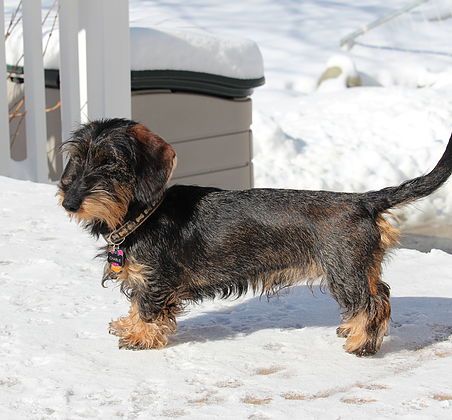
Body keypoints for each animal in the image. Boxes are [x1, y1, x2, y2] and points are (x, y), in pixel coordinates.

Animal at [57, 117, 452, 354]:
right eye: (78, 158)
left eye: (111, 163)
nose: (70, 201)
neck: (143, 214)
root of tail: (364, 201)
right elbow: (136, 303)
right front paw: (128, 324)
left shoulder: (156, 281)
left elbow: (147, 307)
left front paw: (140, 335)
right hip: (362, 267)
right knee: (381, 294)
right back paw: (355, 331)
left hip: (345, 272)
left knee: (371, 304)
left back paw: (361, 343)